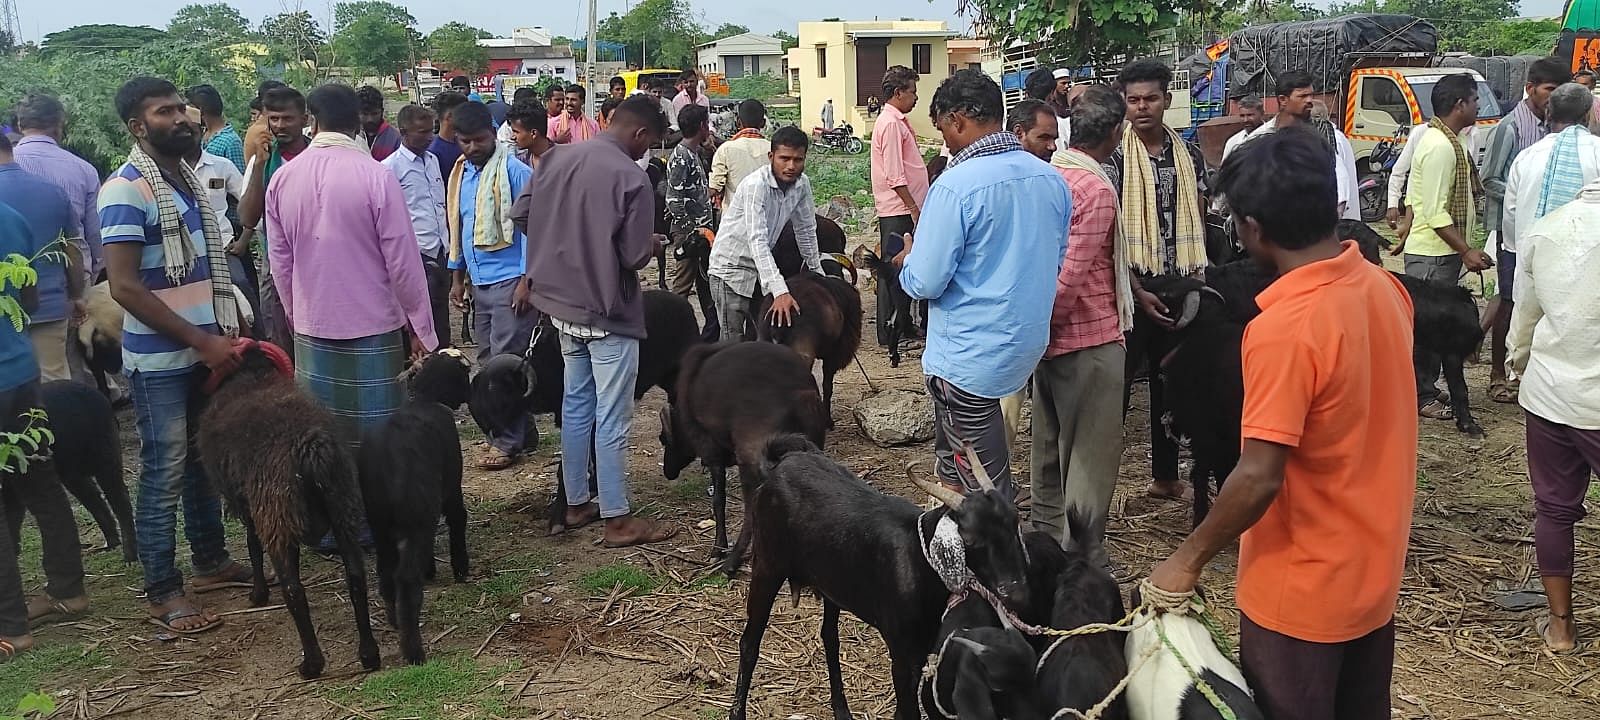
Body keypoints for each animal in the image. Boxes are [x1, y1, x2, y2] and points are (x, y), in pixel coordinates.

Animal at [37, 382, 136, 563]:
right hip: (73, 473)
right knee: (96, 500)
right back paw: (110, 543)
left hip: (105, 459)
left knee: (119, 500)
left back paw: (129, 555)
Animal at [193, 340, 377, 678]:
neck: (251, 374)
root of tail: (311, 445)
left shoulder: (250, 506)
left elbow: (253, 546)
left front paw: (258, 593)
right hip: (342, 507)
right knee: (356, 578)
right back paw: (369, 654)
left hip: (276, 512)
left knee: (294, 590)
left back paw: (312, 663)